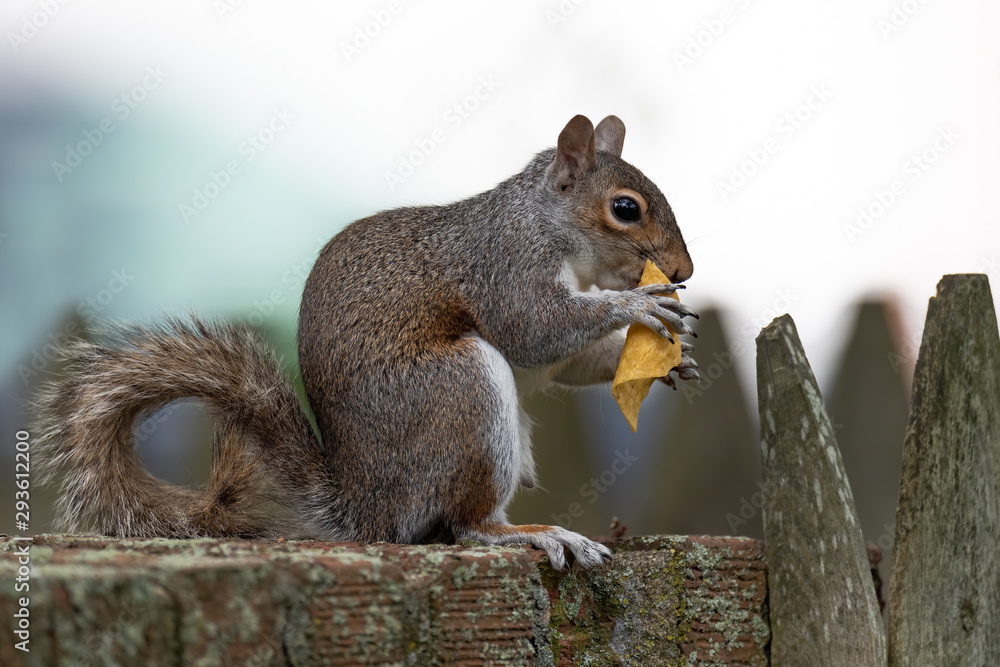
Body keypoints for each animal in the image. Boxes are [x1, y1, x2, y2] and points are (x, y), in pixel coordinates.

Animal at [34, 114, 699, 570]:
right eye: (625, 208)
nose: (683, 271)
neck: (546, 225)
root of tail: (369, 508)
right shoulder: (504, 268)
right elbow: (535, 332)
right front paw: (640, 305)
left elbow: (567, 362)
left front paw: (676, 361)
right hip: (459, 389)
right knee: (465, 525)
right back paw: (533, 534)